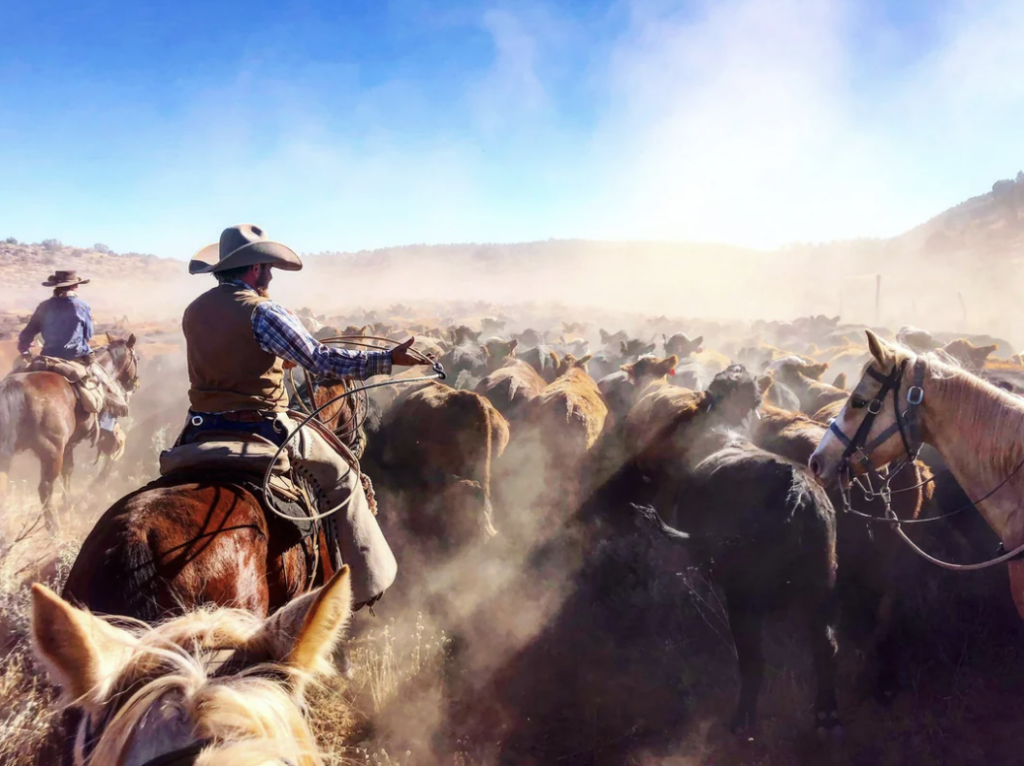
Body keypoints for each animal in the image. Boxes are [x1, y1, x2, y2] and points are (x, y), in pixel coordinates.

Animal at [0, 337, 139, 528]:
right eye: (136, 358)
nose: (135, 382)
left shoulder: (69, 445)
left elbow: (68, 470)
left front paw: (68, 500)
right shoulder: (101, 431)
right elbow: (111, 449)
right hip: (52, 452)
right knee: (45, 487)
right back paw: (52, 526)